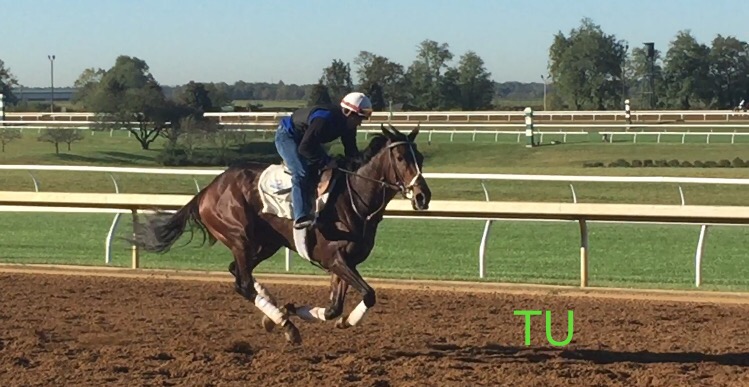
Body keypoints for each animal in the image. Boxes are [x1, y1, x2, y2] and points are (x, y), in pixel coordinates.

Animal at [131, 123, 430, 346]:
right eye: (401, 158)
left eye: (421, 158)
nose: (422, 196)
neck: (353, 198)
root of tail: (207, 190)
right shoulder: (335, 259)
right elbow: (368, 295)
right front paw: (307, 317)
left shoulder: (345, 263)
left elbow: (333, 309)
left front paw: (301, 312)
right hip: (240, 237)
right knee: (242, 283)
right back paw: (285, 324)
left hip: (266, 243)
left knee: (237, 273)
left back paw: (273, 310)